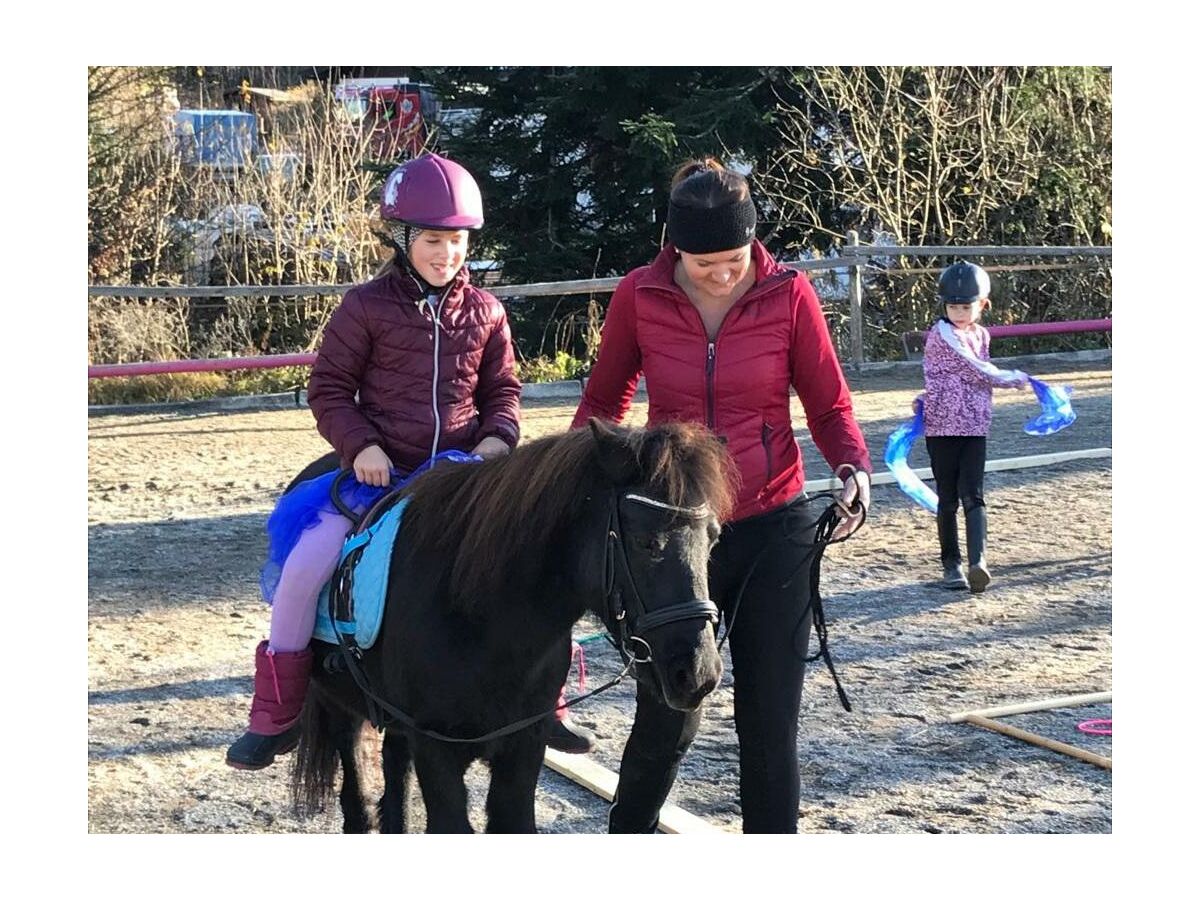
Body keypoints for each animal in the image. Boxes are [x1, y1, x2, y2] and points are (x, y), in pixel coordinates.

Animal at [295, 420, 734, 835]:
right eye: (646, 541)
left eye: (714, 538)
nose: (698, 673)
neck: (479, 620)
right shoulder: (437, 750)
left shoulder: (524, 745)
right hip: (338, 703)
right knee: (355, 787)